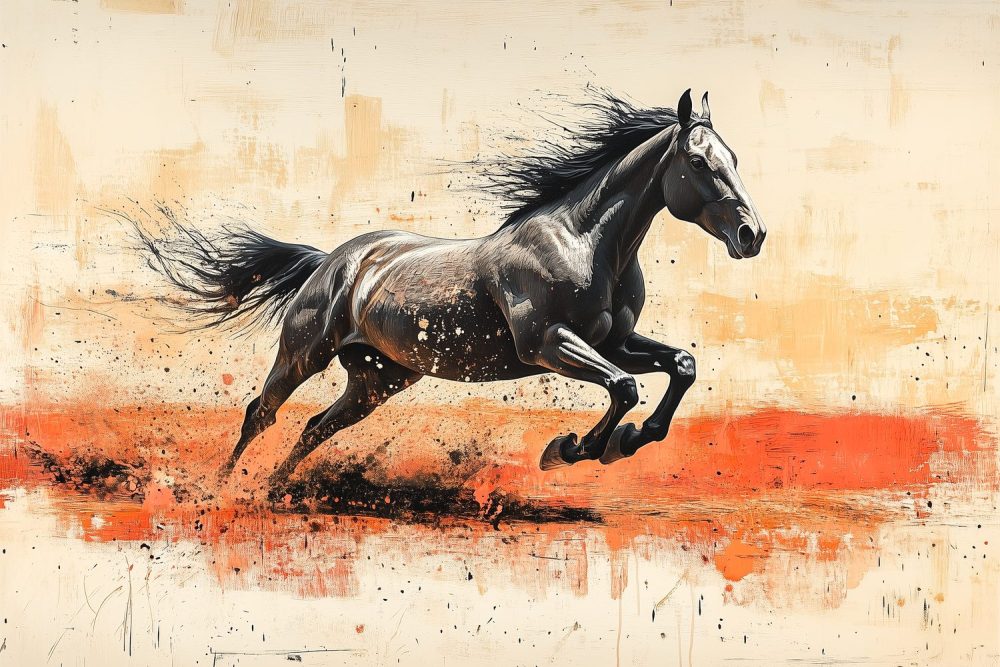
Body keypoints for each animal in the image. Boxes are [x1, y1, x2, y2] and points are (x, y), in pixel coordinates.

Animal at [134, 88, 766, 489]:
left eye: (734, 157)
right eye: (698, 161)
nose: (752, 234)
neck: (584, 242)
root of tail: (331, 261)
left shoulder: (613, 340)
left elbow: (679, 365)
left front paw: (630, 440)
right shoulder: (547, 343)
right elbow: (625, 386)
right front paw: (571, 450)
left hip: (378, 379)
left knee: (316, 427)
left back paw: (273, 491)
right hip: (303, 355)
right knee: (260, 414)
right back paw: (221, 491)